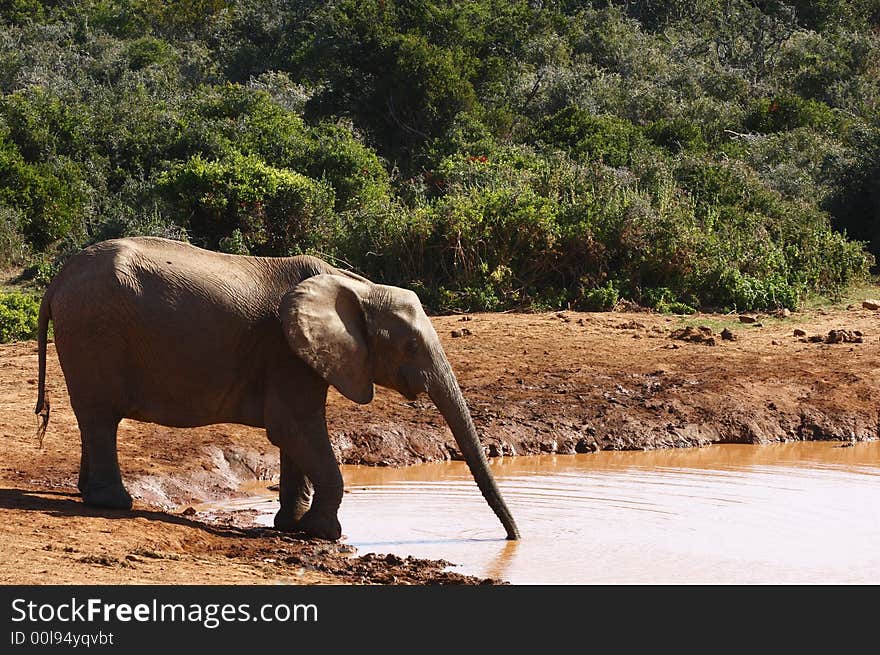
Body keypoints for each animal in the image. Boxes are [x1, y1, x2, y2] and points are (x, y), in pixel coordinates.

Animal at [34, 238, 520, 540]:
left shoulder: (299, 355)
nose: (514, 538)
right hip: (94, 331)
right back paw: (115, 503)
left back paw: (89, 495)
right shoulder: (287, 351)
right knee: (102, 417)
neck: (359, 288)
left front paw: (292, 525)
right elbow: (294, 428)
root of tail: (58, 278)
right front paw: (323, 533)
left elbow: (294, 435)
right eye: (412, 346)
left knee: (93, 419)